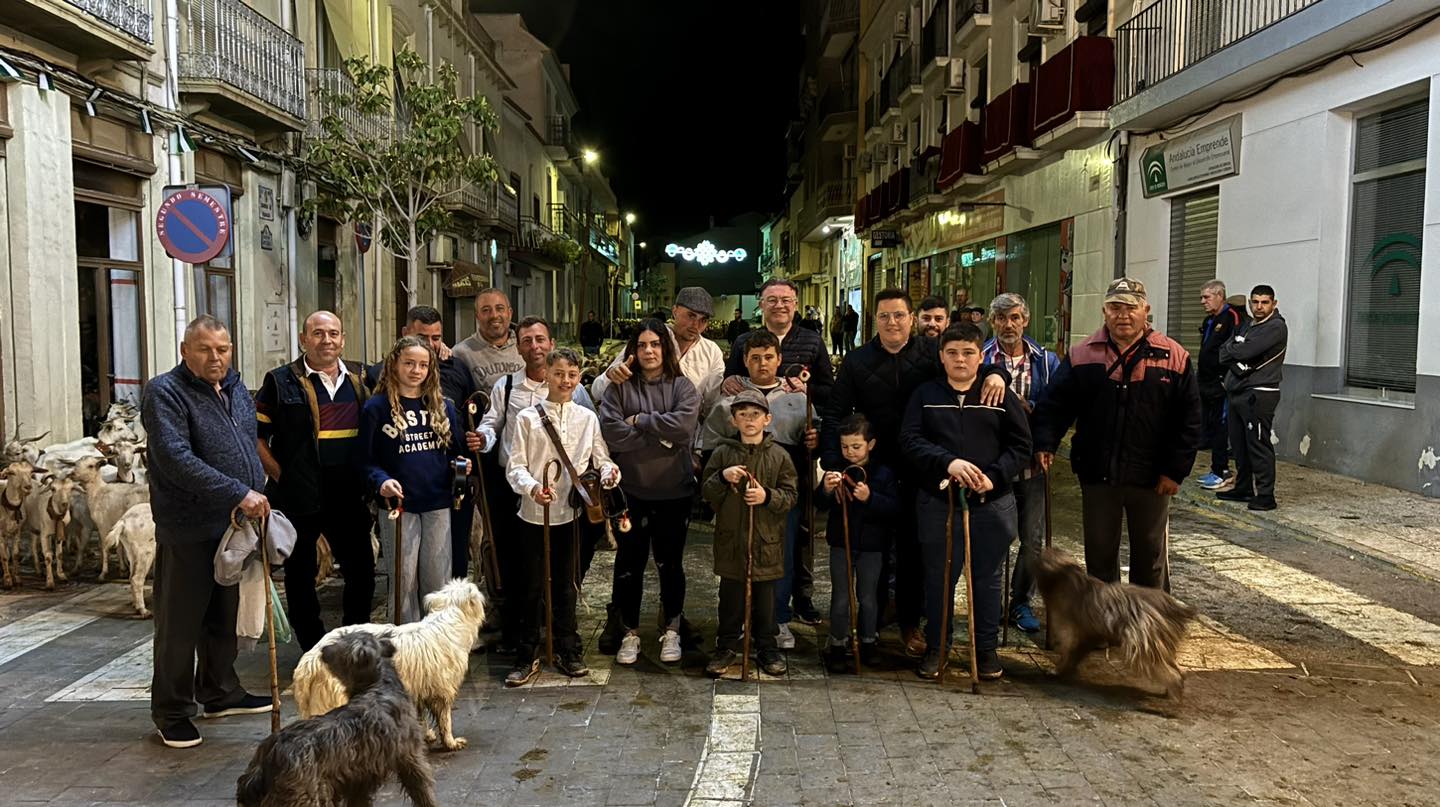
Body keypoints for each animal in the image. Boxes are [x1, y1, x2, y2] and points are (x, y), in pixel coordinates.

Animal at [236, 634, 434, 807]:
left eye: (342, 642)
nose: (323, 650)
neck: (378, 684)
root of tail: (269, 758)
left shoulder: (359, 781)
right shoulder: (410, 758)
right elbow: (423, 791)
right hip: (307, 797)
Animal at [289, 579, 486, 749]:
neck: (447, 617)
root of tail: (310, 660)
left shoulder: (418, 689)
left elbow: (421, 717)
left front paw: (428, 735)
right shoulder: (442, 691)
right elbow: (445, 720)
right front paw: (451, 742)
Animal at [1031, 547, 1198, 700]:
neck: (1064, 575)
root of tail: (1171, 606)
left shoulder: (1068, 627)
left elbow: (1068, 649)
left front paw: (1057, 670)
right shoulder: (1086, 634)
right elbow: (1076, 651)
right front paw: (1067, 669)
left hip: (1143, 642)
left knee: (1167, 671)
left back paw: (1175, 689)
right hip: (1160, 642)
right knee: (1175, 667)